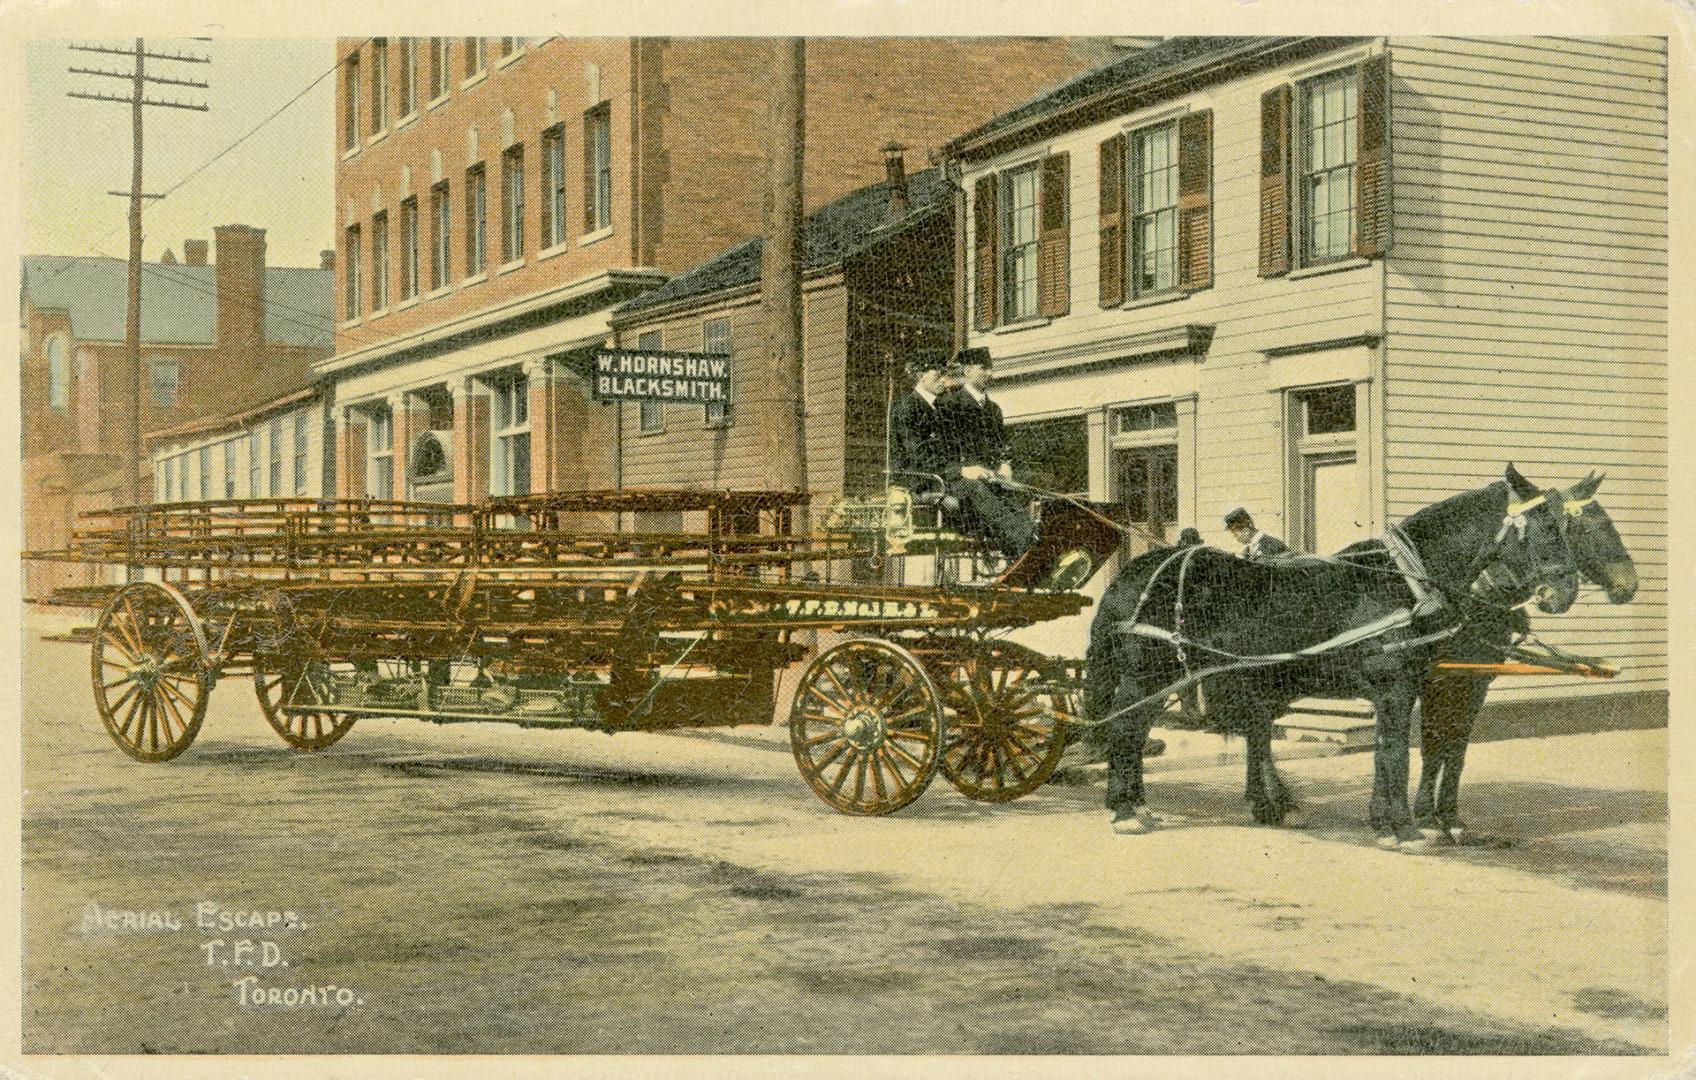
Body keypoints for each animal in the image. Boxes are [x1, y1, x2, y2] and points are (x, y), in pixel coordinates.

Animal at [1085, 467, 1587, 847]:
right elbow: (1394, 753)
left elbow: (1391, 752)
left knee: (1137, 729)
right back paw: (1125, 811)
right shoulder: (1395, 686)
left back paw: (1138, 805)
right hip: (1146, 673)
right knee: (1125, 728)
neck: (1407, 583)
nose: (1564, 591)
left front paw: (1387, 824)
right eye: (1544, 529)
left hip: (1166, 676)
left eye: (1568, 529)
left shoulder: (1410, 688)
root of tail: (1136, 572)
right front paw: (1403, 829)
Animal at [1411, 474, 1634, 840]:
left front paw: (1450, 817)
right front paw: (1426, 817)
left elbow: (1456, 746)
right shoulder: (1437, 681)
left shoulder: (1473, 681)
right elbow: (1433, 743)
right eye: (1590, 526)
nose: (1630, 584)